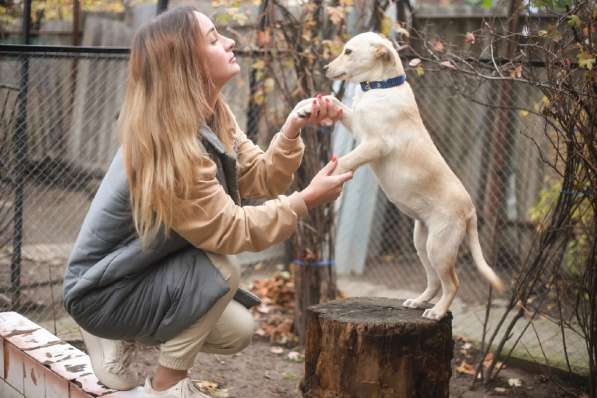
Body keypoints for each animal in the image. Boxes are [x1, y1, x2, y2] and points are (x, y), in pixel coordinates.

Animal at [298, 31, 502, 320]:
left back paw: (437, 311)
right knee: (435, 281)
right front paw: (307, 107)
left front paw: (324, 178)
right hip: (422, 242)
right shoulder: (358, 126)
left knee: (452, 283)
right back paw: (419, 302)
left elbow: (345, 161)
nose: (325, 68)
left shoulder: (374, 144)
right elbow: (336, 102)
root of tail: (471, 210)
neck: (381, 87)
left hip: (439, 247)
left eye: (348, 52)